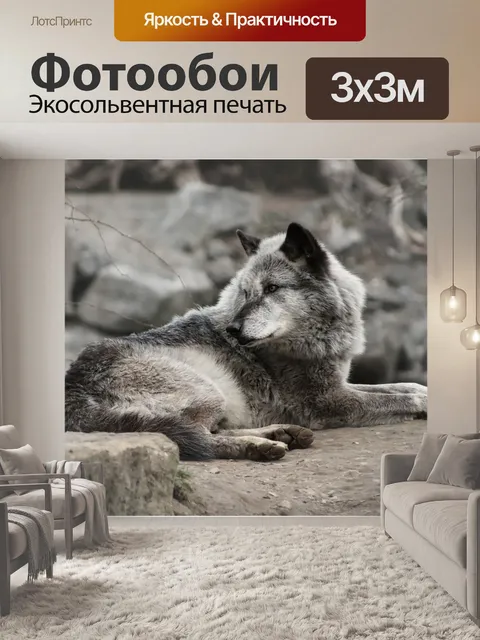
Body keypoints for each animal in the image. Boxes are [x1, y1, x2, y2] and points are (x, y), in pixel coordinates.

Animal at [65, 222, 427, 461]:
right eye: (245, 292)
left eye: (272, 288)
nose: (233, 330)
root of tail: (73, 389)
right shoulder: (325, 401)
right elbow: (396, 399)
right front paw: (420, 403)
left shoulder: (337, 383)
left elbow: (399, 386)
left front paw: (422, 391)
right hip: (207, 390)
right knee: (196, 439)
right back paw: (262, 447)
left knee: (204, 431)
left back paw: (282, 434)